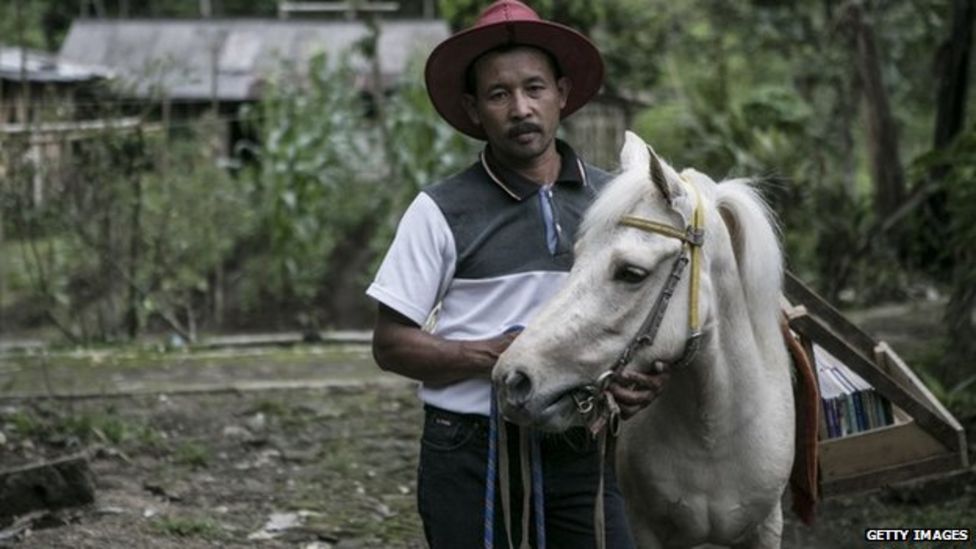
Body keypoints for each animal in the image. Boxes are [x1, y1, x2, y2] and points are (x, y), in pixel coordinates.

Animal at [496, 131, 792, 544]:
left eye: (631, 273)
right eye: (577, 257)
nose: (512, 379)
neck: (714, 434)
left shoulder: (766, 526)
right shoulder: (647, 527)